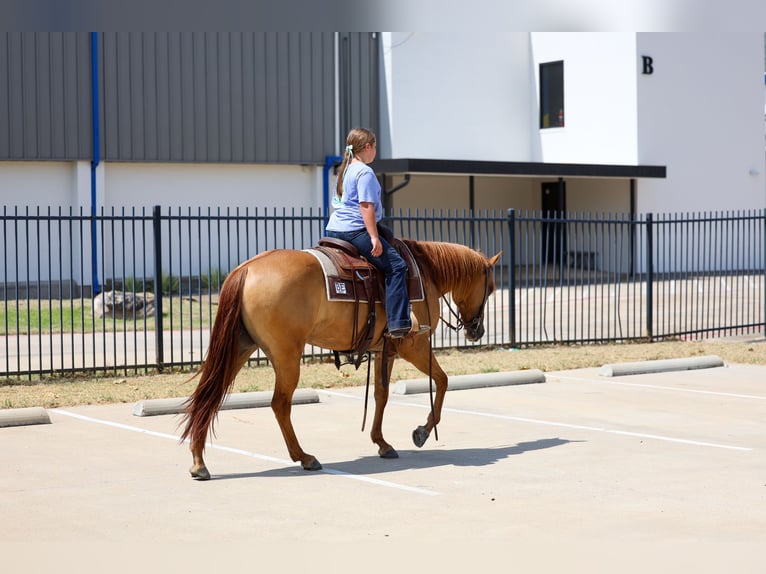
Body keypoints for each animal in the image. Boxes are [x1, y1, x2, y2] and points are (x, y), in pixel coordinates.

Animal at [179, 239, 501, 480]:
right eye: (490, 288)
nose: (477, 330)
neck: (425, 271)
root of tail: (245, 269)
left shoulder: (386, 350)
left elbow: (382, 395)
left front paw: (382, 443)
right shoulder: (415, 346)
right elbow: (443, 381)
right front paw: (422, 431)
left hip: (239, 348)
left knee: (208, 395)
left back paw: (198, 462)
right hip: (286, 357)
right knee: (279, 404)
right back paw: (304, 457)